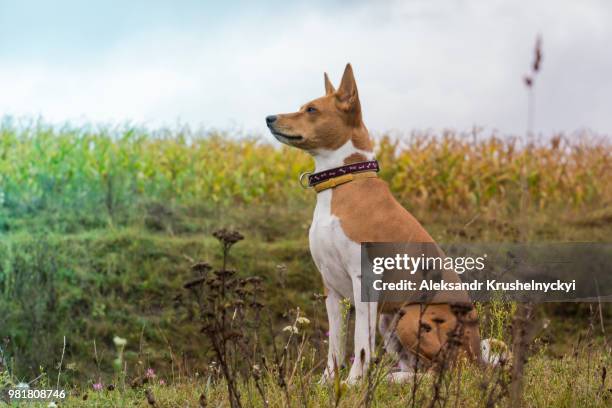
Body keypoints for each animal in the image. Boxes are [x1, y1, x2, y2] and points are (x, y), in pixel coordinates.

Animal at [268, 63, 482, 382]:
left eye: (312, 110)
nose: (269, 118)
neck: (342, 182)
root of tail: (479, 355)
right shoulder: (330, 287)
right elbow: (335, 344)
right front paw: (328, 382)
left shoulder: (364, 280)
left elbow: (360, 343)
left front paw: (353, 383)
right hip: (389, 320)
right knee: (416, 365)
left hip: (412, 318)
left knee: (443, 371)